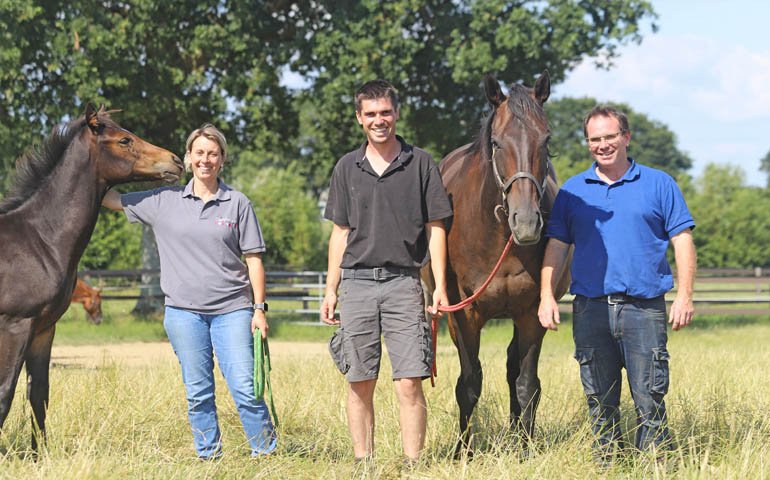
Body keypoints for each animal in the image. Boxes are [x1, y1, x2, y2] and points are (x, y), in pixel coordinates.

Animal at [0, 104, 183, 450]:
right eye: (124, 140)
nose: (176, 162)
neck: (39, 240)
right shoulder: (15, 327)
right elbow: (5, 392)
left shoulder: (43, 330)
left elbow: (38, 394)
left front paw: (40, 454)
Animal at [424, 72, 571, 455]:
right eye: (496, 142)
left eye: (546, 139)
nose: (527, 222)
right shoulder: (463, 315)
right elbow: (468, 383)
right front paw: (463, 451)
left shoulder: (532, 312)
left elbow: (527, 383)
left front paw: (525, 447)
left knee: (512, 368)